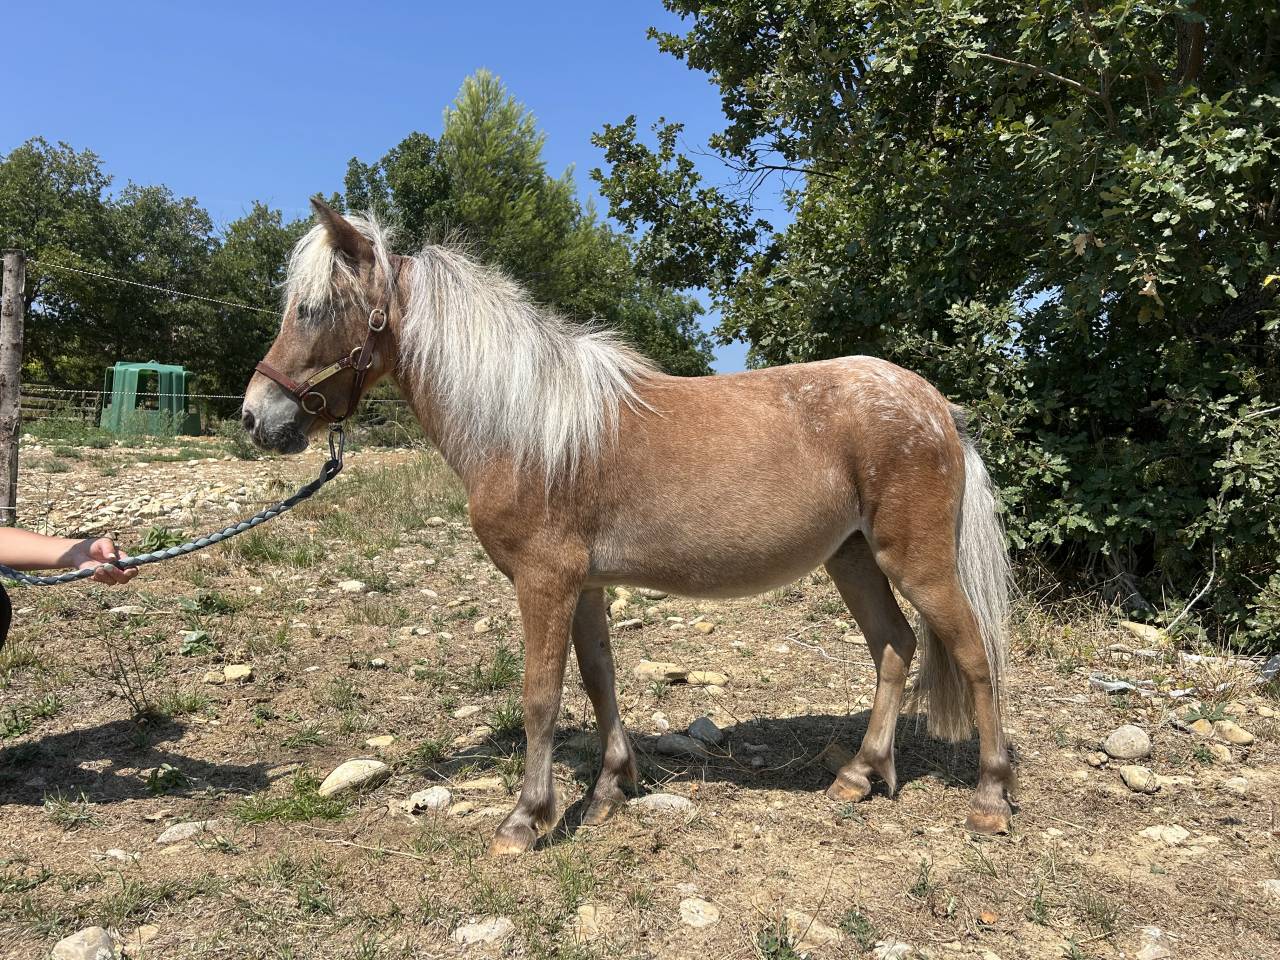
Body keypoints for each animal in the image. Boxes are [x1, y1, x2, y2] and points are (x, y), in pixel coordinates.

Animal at [241, 198, 1014, 855]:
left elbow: (541, 696)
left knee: (973, 654)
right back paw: (859, 776)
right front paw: (612, 788)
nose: (254, 416)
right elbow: (598, 679)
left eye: (312, 309)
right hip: (851, 558)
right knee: (893, 647)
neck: (529, 429)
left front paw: (526, 819)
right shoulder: (583, 586)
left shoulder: (545, 583)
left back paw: (990, 799)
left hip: (917, 562)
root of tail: (938, 407)